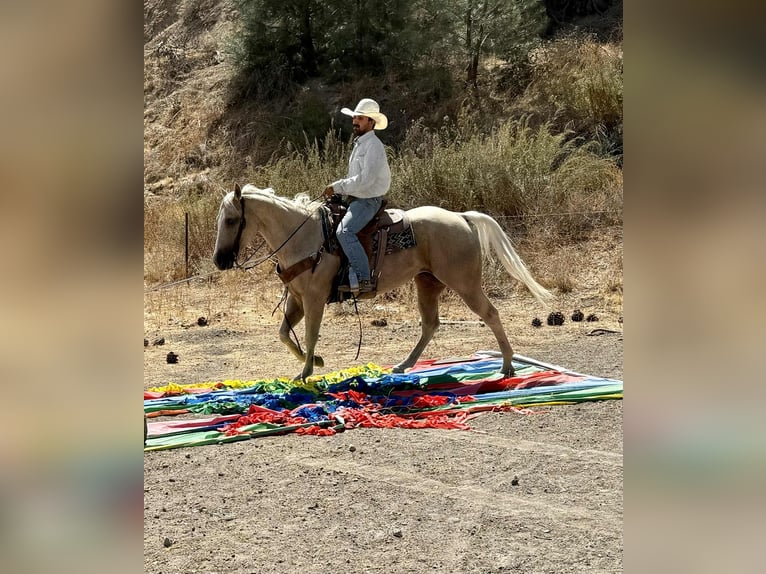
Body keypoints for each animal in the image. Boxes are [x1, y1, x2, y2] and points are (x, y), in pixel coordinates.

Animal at [213, 184, 551, 380]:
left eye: (231, 220)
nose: (219, 261)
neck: (305, 237)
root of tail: (462, 217)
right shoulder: (296, 298)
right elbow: (284, 334)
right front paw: (316, 363)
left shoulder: (314, 299)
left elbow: (309, 335)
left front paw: (305, 371)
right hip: (427, 283)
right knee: (430, 324)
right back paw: (403, 365)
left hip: (465, 283)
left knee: (490, 314)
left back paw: (506, 365)